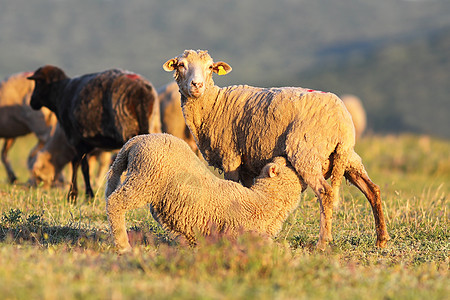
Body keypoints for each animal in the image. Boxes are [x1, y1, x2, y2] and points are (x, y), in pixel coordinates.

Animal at [27, 65, 159, 202]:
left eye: (37, 83)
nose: (32, 102)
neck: (60, 93)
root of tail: (141, 91)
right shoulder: (88, 143)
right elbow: (80, 163)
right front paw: (78, 195)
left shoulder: (76, 138)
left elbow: (81, 165)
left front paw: (80, 195)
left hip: (127, 127)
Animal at [104, 134, 304, 253]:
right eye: (287, 165)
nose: (285, 155)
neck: (264, 201)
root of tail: (137, 140)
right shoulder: (237, 234)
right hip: (145, 178)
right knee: (115, 203)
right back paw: (123, 246)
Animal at [163, 50, 388, 250]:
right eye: (181, 65)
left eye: (210, 67)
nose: (197, 85)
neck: (212, 104)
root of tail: (341, 120)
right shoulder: (246, 163)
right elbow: (247, 193)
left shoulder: (231, 156)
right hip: (347, 156)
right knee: (373, 190)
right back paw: (381, 240)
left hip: (307, 151)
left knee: (325, 192)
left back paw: (323, 243)